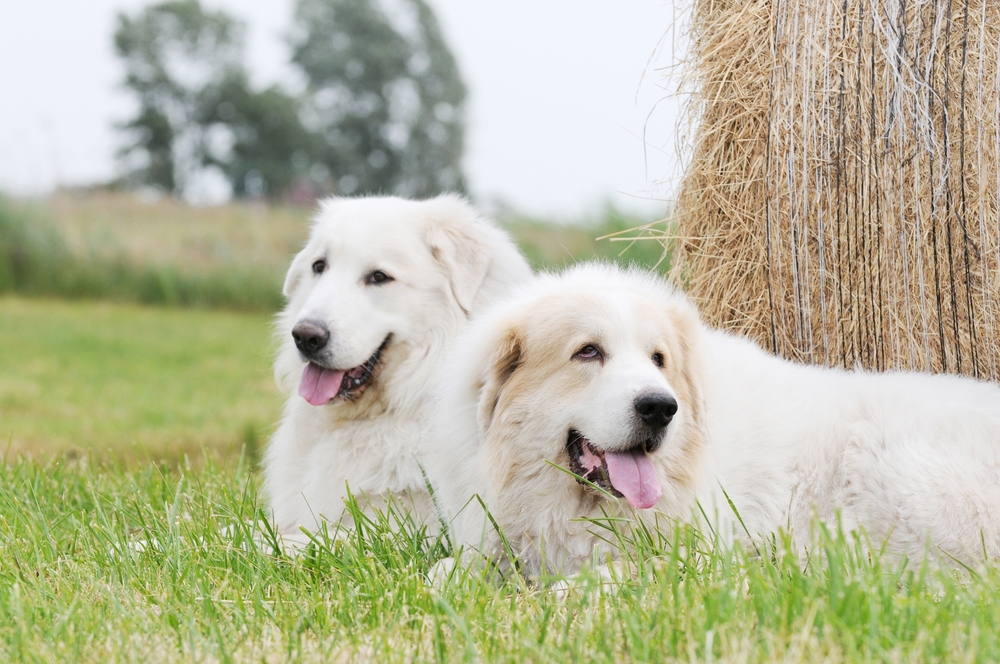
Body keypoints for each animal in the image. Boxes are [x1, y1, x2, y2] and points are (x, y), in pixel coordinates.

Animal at [426, 262, 1000, 580]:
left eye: (658, 359)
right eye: (588, 352)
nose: (660, 407)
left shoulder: (699, 556)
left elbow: (597, 580)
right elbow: (441, 573)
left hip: (898, 471)